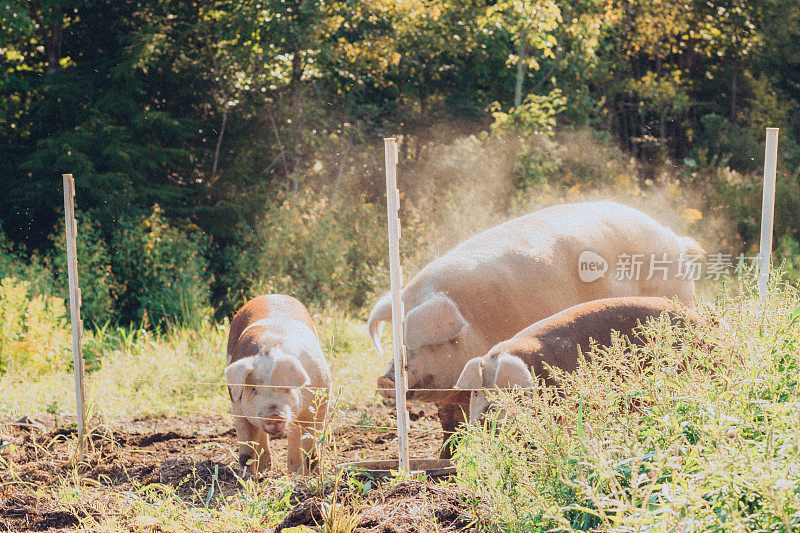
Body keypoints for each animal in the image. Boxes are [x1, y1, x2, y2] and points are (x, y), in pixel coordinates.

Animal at [222, 296, 332, 474]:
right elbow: (246, 449)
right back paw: (265, 469)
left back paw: (294, 472)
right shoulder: (237, 405)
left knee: (294, 432)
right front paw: (248, 477)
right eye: (253, 389)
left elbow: (311, 449)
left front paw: (314, 475)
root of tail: (271, 295)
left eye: (287, 388)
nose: (274, 416)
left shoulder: (320, 403)